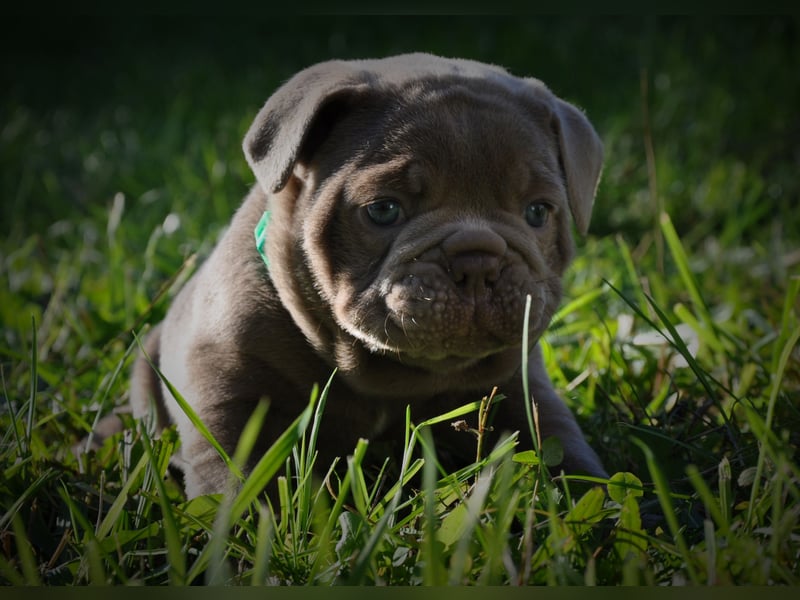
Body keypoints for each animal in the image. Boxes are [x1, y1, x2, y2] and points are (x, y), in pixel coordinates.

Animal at [119, 55, 608, 496]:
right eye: (384, 210)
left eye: (538, 212)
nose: (476, 261)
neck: (390, 373)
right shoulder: (232, 394)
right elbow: (240, 484)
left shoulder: (524, 391)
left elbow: (566, 454)